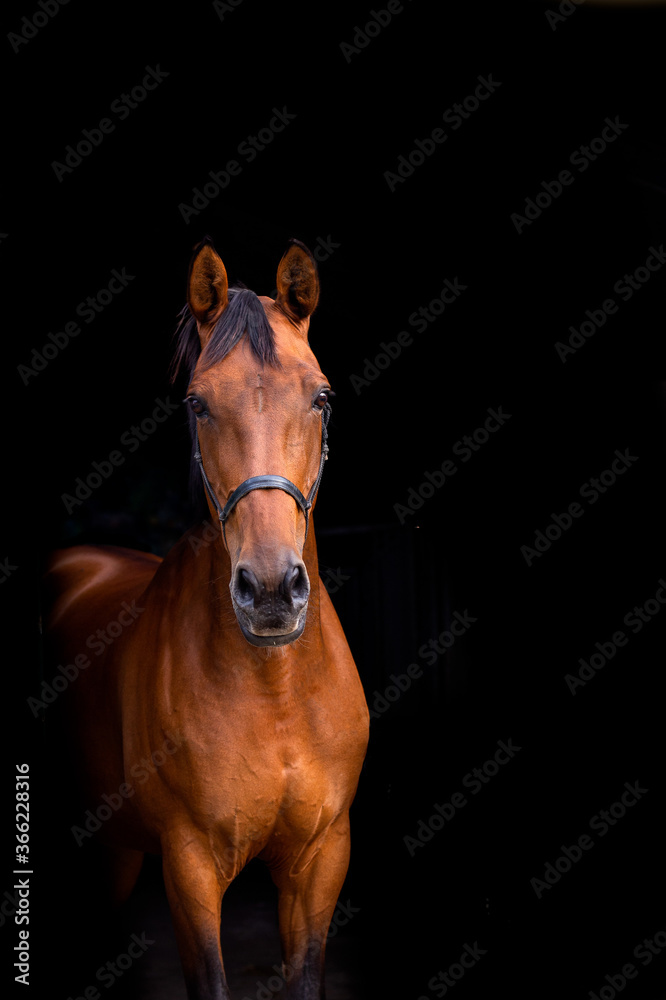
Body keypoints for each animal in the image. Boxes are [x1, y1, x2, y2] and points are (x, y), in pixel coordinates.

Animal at [44, 237, 370, 999]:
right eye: (198, 403)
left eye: (321, 396)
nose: (272, 589)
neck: (277, 696)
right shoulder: (189, 866)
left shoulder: (321, 861)